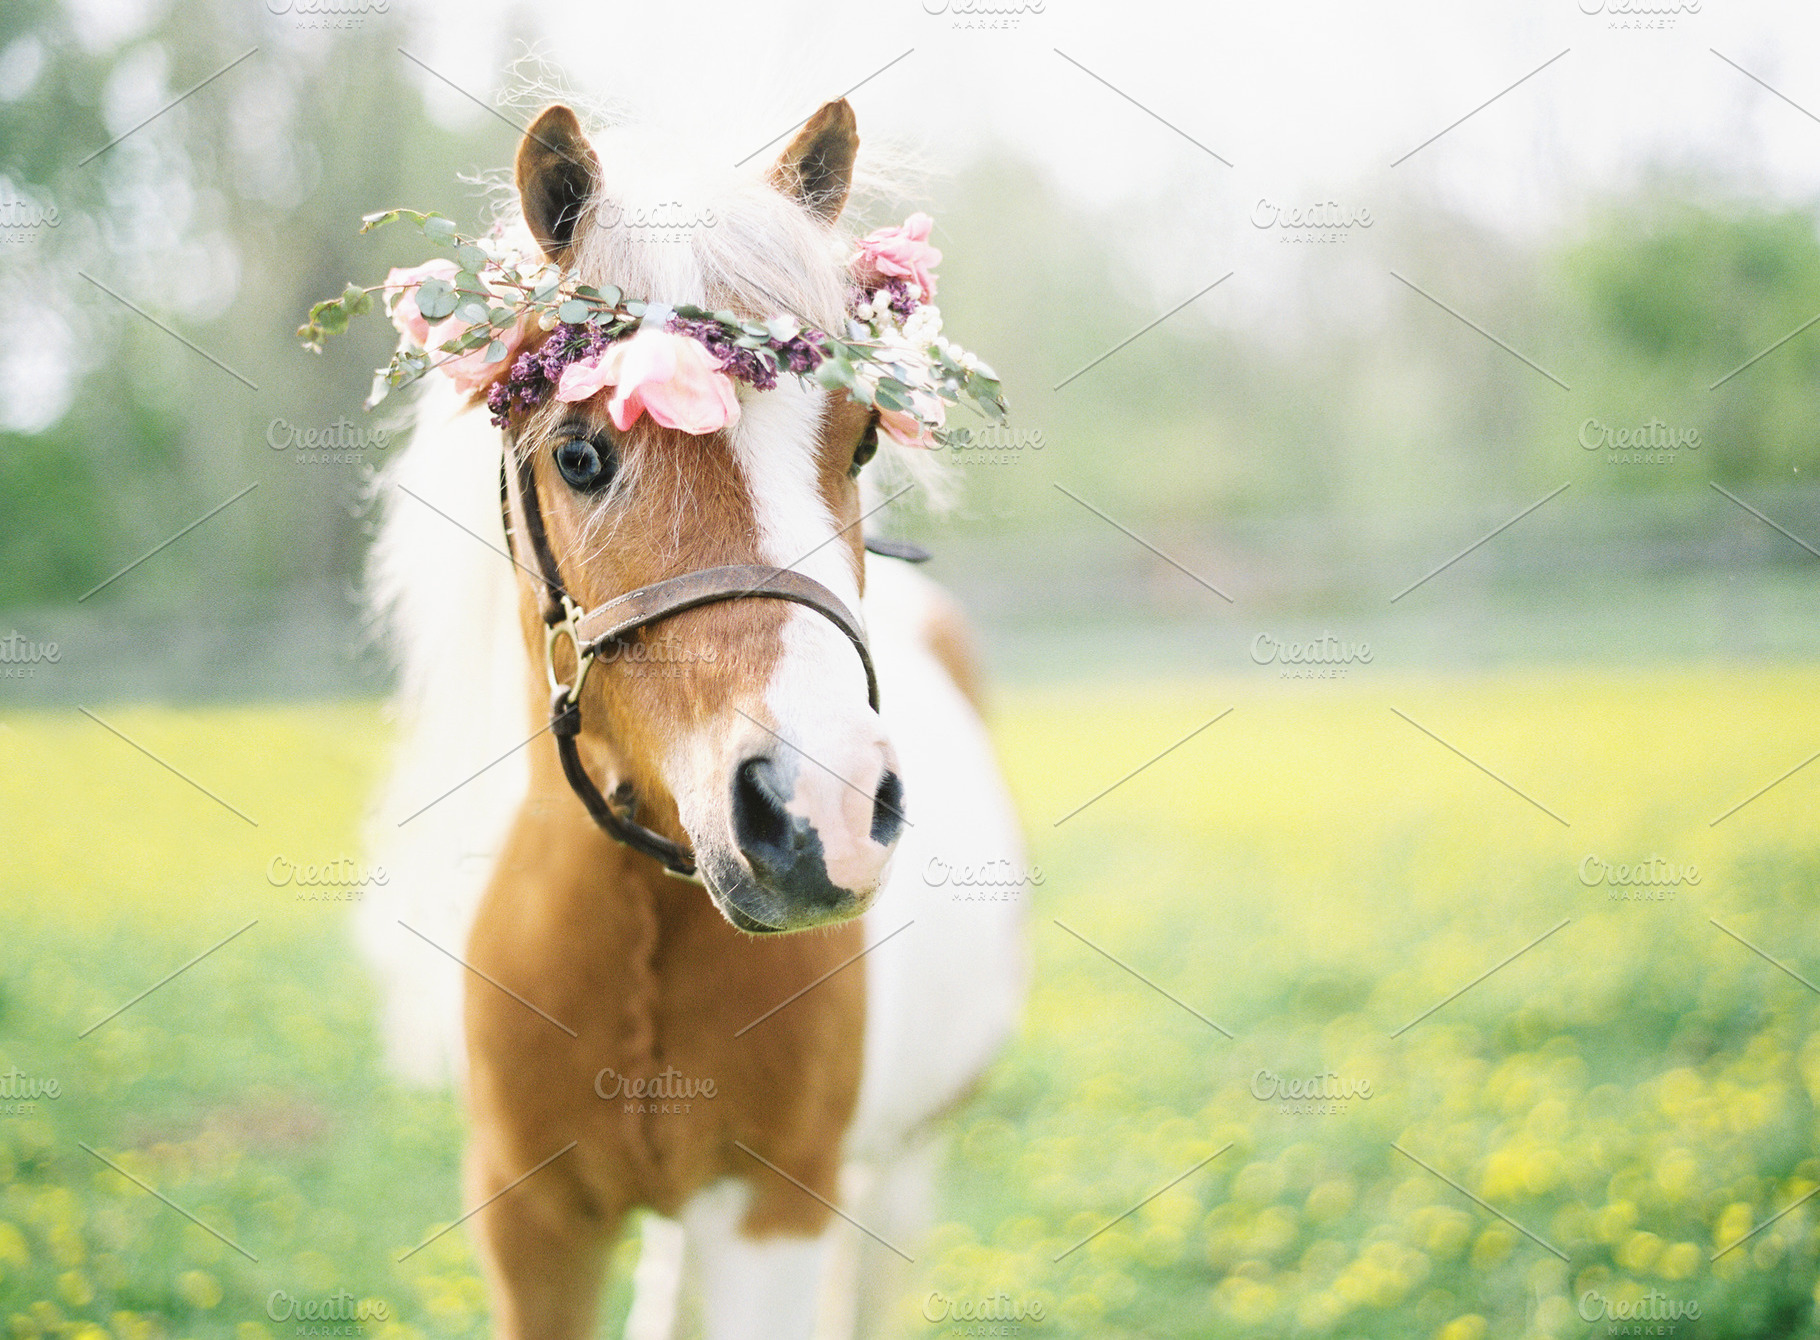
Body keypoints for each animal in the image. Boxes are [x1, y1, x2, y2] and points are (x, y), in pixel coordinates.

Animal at [354, 99, 1028, 1340]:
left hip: (895, 1167)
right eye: (578, 453)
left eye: (862, 441)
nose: (822, 810)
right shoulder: (530, 1221)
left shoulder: (773, 1210)